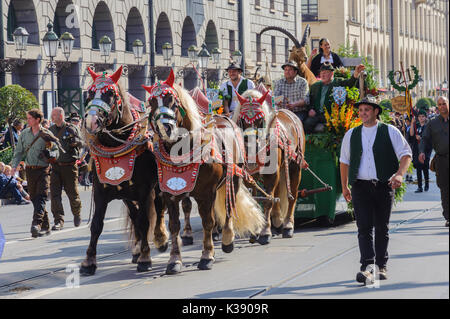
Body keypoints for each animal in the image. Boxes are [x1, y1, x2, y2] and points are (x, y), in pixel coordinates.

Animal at [80, 66, 168, 276]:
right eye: (89, 94)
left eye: (110, 94)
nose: (91, 122)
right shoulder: (101, 192)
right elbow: (96, 224)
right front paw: (89, 262)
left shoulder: (145, 191)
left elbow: (145, 221)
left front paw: (145, 258)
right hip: (128, 196)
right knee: (135, 216)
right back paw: (136, 249)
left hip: (158, 187)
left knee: (159, 208)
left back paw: (160, 239)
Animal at [142, 70, 266, 276]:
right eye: (151, 102)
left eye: (171, 100)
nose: (164, 129)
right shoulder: (170, 193)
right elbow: (174, 225)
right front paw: (174, 260)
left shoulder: (206, 193)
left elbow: (208, 221)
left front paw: (207, 256)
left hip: (234, 178)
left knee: (229, 206)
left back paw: (227, 238)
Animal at [232, 89, 306, 246]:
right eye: (242, 120)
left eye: (260, 120)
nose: (251, 146)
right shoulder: (249, 175)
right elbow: (256, 199)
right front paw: (256, 230)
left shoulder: (271, 173)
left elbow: (267, 200)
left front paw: (265, 232)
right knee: (277, 193)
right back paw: (278, 221)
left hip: (295, 166)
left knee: (293, 194)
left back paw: (288, 225)